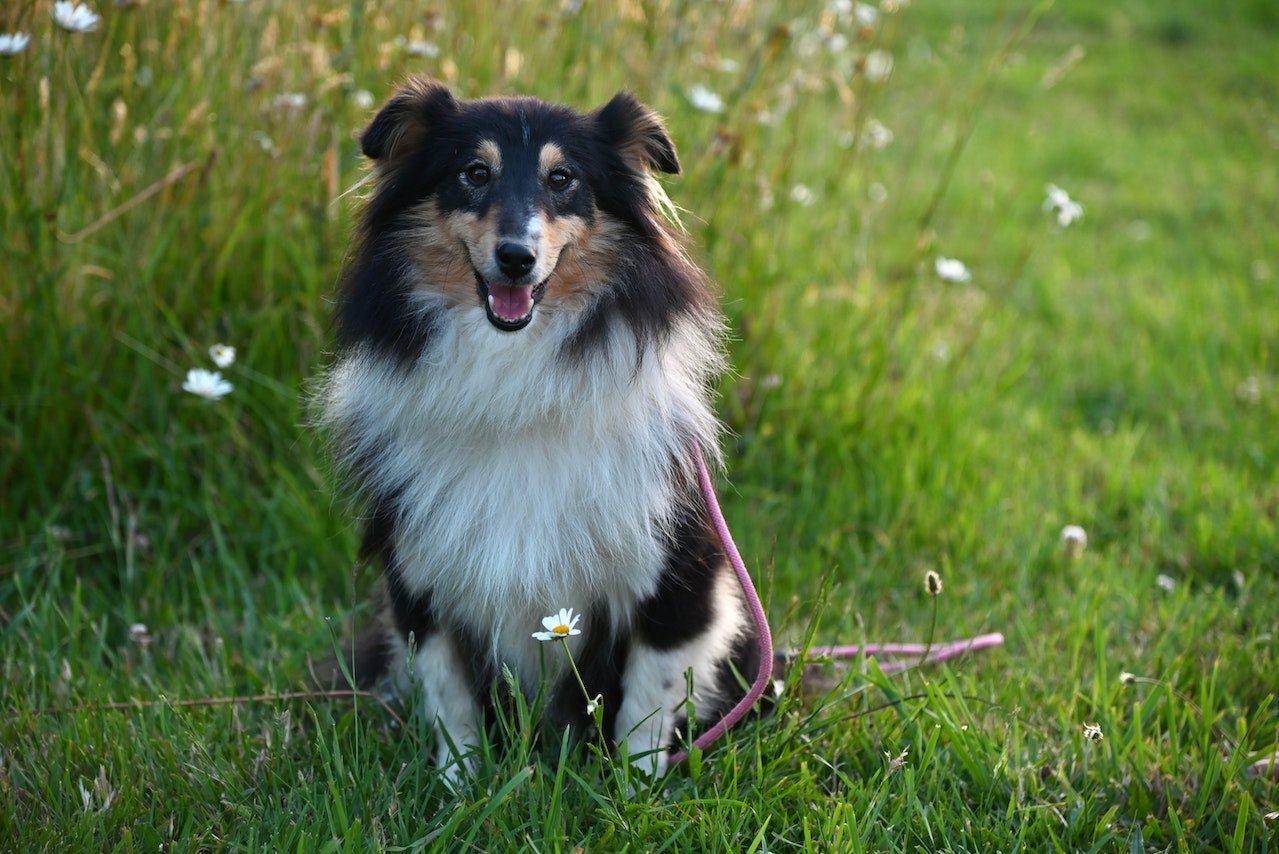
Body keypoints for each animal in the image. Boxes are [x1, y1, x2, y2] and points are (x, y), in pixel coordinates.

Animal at [317, 76, 757, 782]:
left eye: (563, 178)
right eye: (474, 173)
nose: (516, 259)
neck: (513, 374)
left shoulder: (677, 576)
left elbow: (647, 701)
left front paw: (633, 790)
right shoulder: (419, 577)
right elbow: (450, 696)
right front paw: (460, 786)